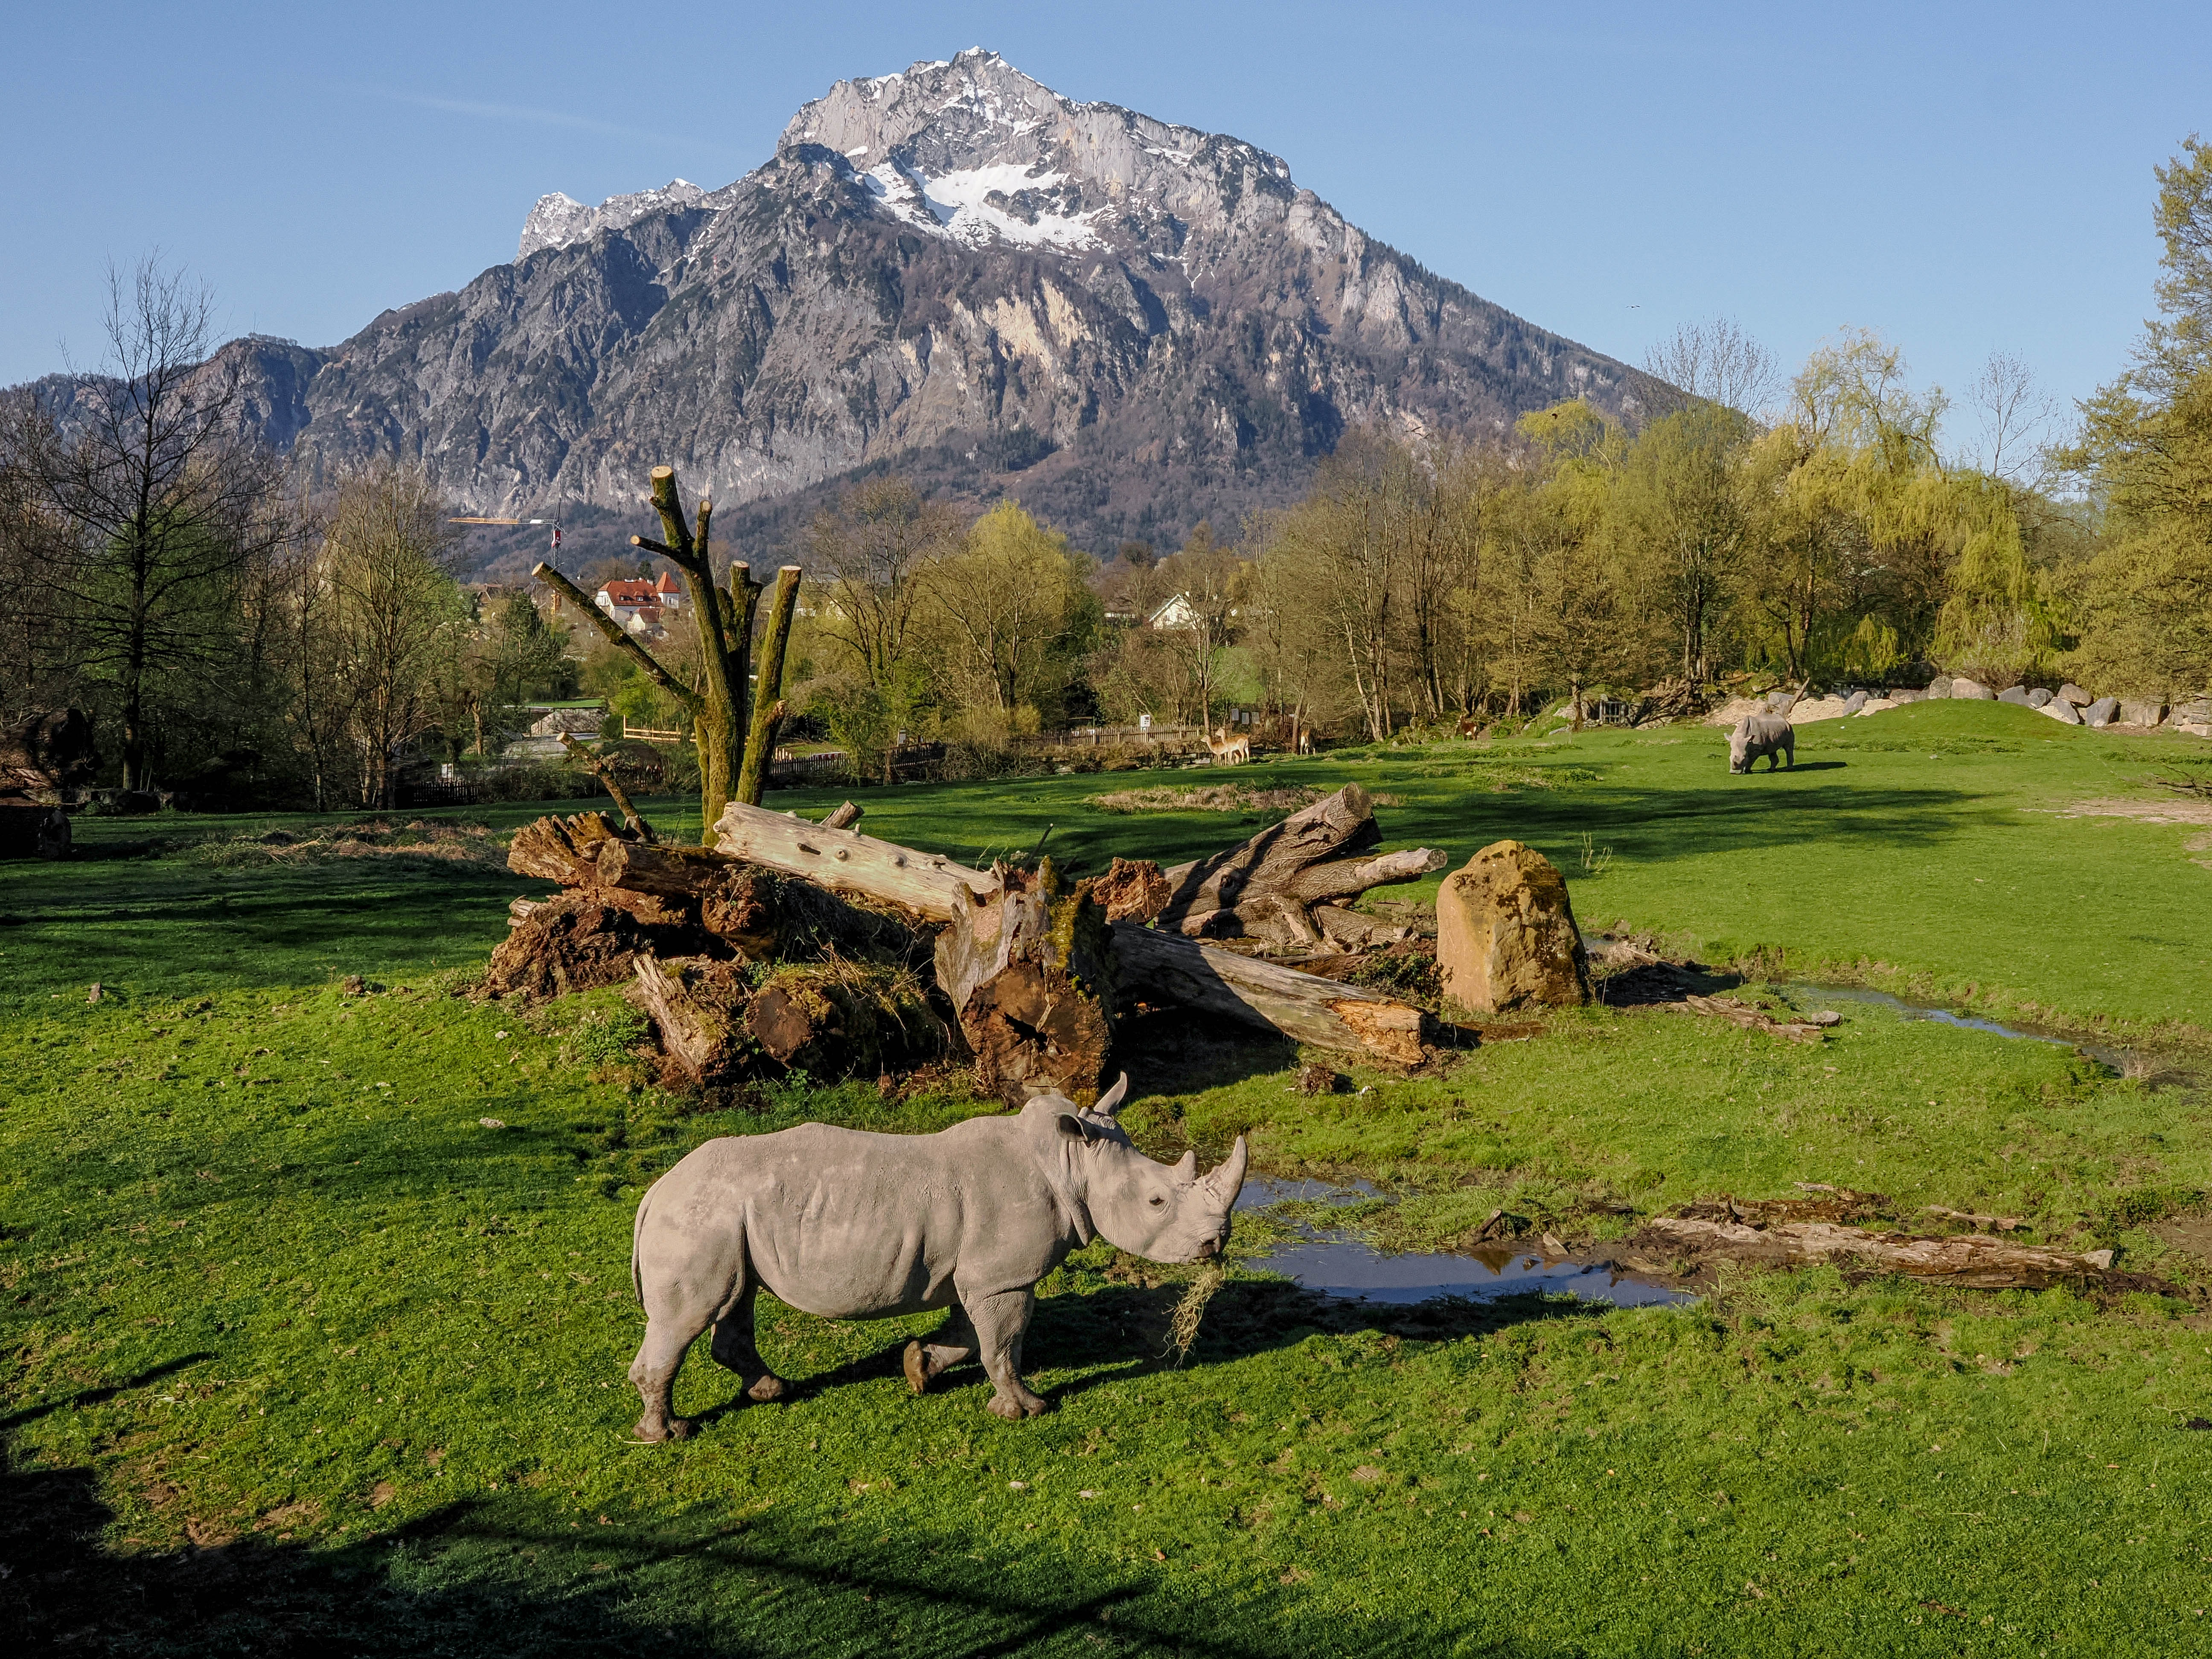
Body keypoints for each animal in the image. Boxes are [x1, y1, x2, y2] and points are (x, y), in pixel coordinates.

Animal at [626, 1073, 1247, 1438]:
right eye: (1157, 1201)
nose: (1216, 1244)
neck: (1072, 1161)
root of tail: (657, 1189)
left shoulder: (980, 1274)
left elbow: (971, 1337)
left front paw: (918, 1368)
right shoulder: (1003, 1278)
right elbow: (1004, 1345)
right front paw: (1027, 1409)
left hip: (725, 1219)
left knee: (736, 1299)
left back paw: (772, 1391)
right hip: (701, 1216)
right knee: (690, 1317)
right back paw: (667, 1434)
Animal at [1728, 712, 1795, 773]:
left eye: (1744, 758)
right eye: (1730, 758)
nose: (1734, 773)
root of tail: (1785, 720)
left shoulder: (1757, 749)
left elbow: (1751, 760)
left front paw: (1747, 771)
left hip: (1789, 729)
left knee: (1788, 748)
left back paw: (1788, 770)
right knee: (1772, 750)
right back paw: (1771, 770)